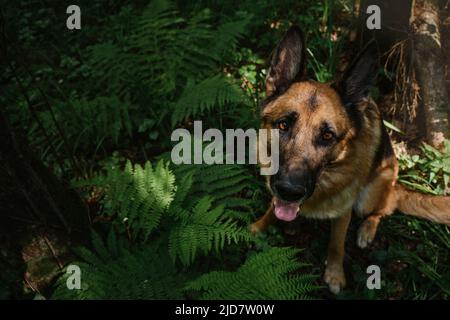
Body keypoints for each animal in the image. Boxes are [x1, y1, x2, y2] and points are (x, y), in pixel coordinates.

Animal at [251, 26, 450, 294]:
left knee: (386, 207)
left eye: (327, 136)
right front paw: (259, 227)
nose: (290, 191)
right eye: (283, 125)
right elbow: (272, 209)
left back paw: (367, 229)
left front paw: (335, 275)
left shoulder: (344, 210)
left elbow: (337, 244)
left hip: (370, 195)